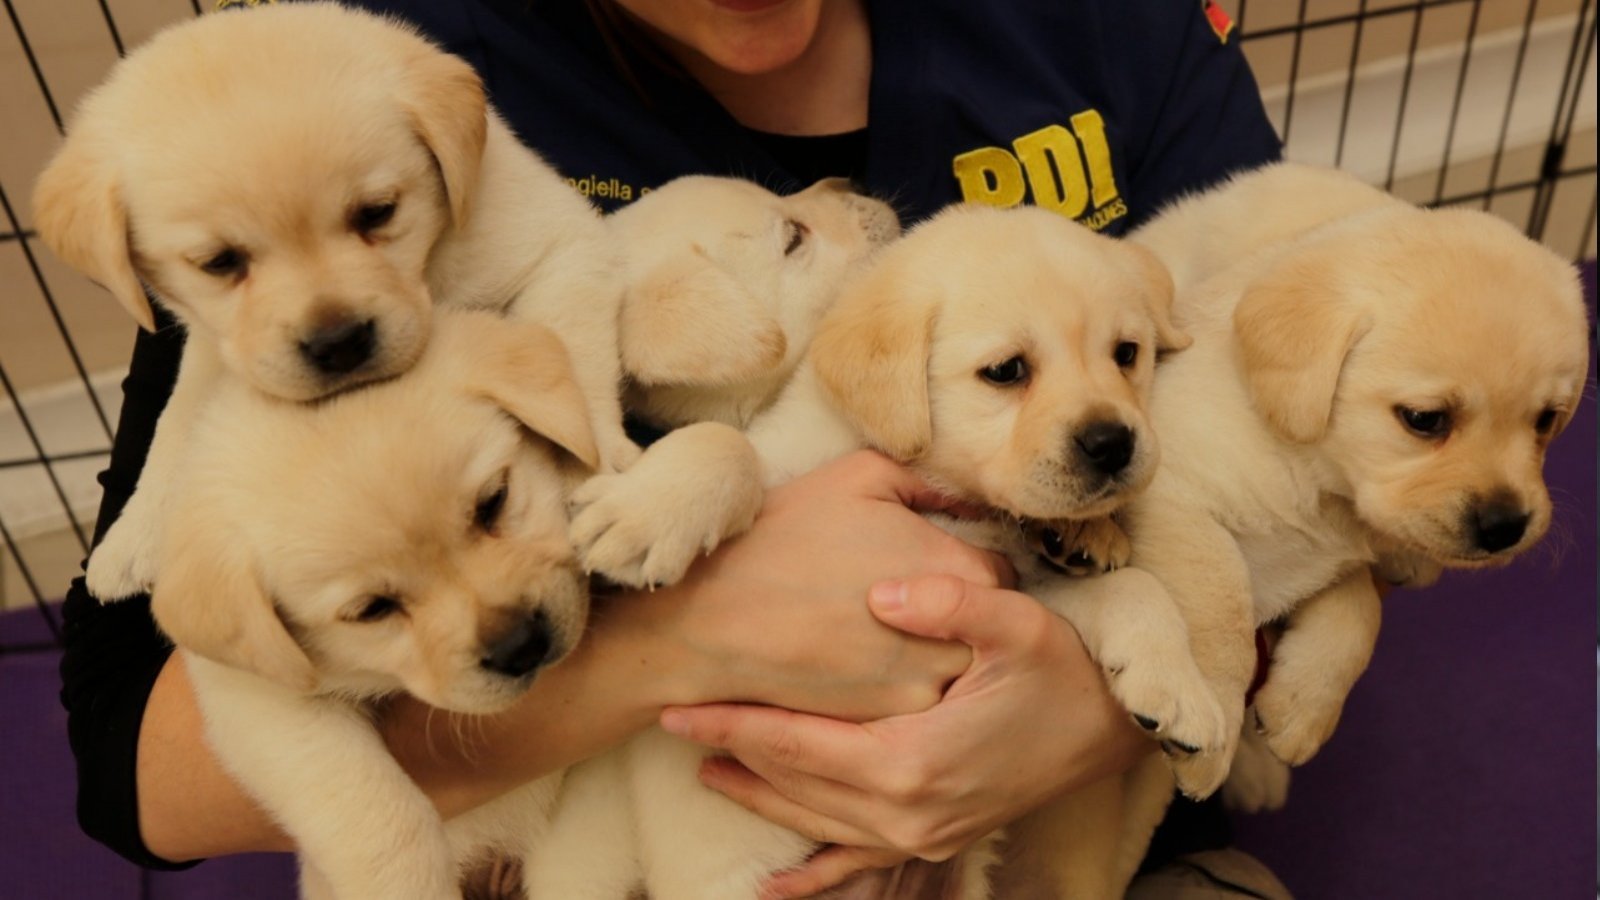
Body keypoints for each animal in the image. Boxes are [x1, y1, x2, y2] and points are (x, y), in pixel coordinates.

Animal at [32, 3, 630, 602]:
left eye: (377, 212)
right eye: (220, 261)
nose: (339, 343)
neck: (428, 276)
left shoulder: (558, 243)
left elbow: (571, 353)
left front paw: (595, 465)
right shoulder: (217, 340)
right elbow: (178, 417)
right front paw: (134, 532)